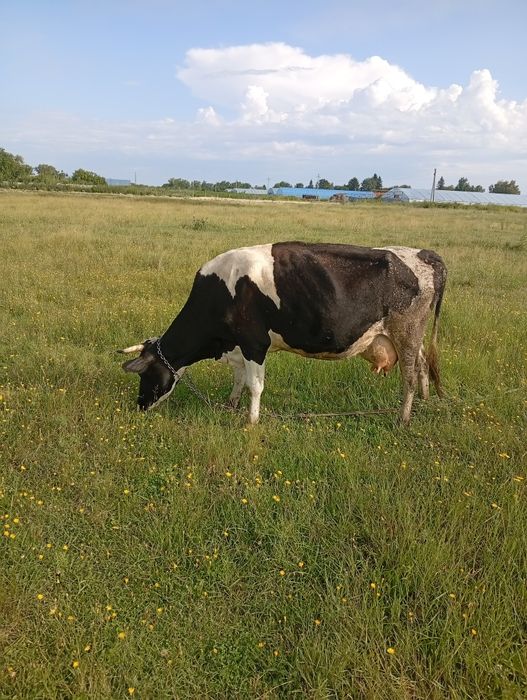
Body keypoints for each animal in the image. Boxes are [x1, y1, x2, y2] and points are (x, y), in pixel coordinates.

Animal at [119, 242, 447, 424]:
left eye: (146, 374)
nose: (140, 406)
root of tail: (425, 254)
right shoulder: (238, 346)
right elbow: (239, 379)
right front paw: (231, 405)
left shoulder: (254, 343)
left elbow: (255, 386)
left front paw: (251, 421)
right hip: (411, 336)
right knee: (421, 366)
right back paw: (425, 401)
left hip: (406, 331)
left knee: (408, 376)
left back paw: (403, 418)